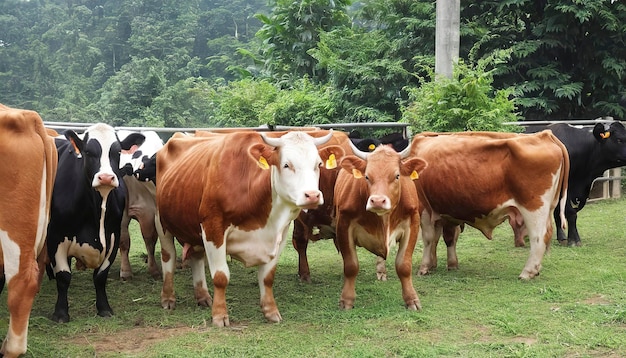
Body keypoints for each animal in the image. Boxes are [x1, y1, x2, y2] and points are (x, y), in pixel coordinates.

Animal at [46, 122, 144, 322]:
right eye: (88, 152)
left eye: (117, 152)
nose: (106, 177)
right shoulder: (55, 236)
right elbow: (64, 276)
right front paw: (61, 313)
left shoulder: (113, 236)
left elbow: (100, 276)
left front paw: (104, 308)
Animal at [155, 130, 342, 326]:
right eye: (286, 165)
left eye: (318, 164)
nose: (312, 195)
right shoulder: (213, 227)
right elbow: (221, 276)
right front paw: (220, 315)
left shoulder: (280, 233)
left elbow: (267, 277)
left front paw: (270, 311)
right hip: (161, 221)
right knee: (168, 256)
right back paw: (168, 298)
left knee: (197, 257)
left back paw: (203, 296)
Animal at [334, 143, 426, 310]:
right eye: (367, 176)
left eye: (397, 176)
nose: (377, 201)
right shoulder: (343, 225)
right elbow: (351, 266)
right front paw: (347, 300)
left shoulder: (413, 223)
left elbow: (404, 266)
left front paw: (411, 299)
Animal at [408, 130, 568, 278]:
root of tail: (544, 134)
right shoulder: (444, 211)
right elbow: (445, 238)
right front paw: (442, 264)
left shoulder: (424, 209)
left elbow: (428, 238)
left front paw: (424, 267)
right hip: (548, 208)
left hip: (533, 208)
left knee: (538, 237)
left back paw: (528, 272)